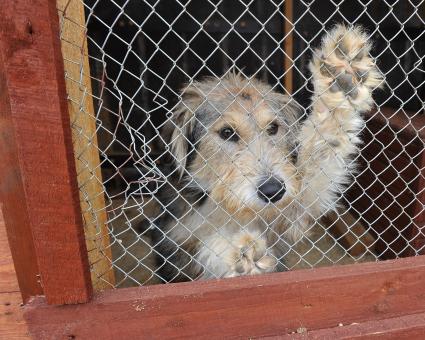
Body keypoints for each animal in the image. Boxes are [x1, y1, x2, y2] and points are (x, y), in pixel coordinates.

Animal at [149, 24, 380, 282]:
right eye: (227, 132)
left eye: (273, 128)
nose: (273, 191)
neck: (230, 207)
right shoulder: (178, 244)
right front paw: (240, 251)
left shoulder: (292, 210)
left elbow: (322, 146)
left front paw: (342, 75)